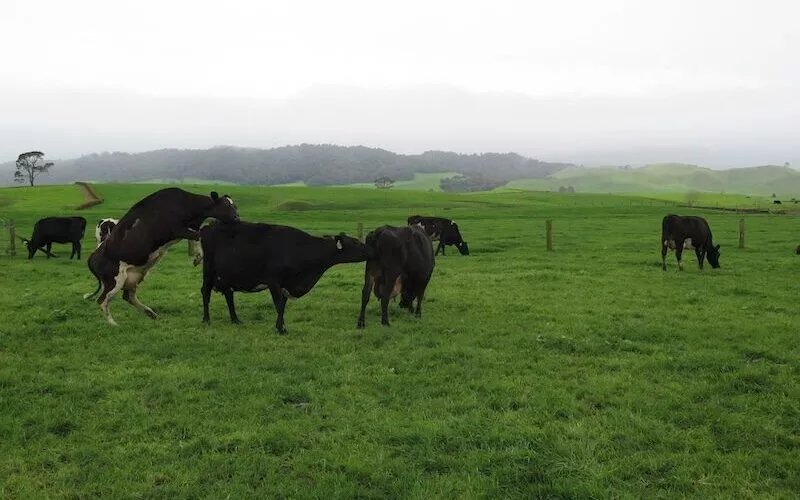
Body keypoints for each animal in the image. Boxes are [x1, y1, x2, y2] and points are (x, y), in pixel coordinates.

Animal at [84, 188, 239, 325]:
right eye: (225, 205)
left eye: (235, 205)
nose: (237, 218)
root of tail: (92, 256)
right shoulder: (178, 229)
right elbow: (198, 235)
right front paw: (198, 255)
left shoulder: (189, 228)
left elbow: (195, 238)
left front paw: (197, 256)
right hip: (115, 280)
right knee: (102, 301)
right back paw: (113, 324)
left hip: (134, 275)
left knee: (128, 296)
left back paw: (150, 313)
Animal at [199, 221, 370, 334]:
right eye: (356, 243)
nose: (369, 249)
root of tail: (209, 226)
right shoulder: (274, 281)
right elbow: (279, 306)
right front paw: (281, 330)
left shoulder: (286, 284)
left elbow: (283, 306)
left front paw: (280, 326)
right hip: (209, 270)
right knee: (205, 292)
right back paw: (206, 320)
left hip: (226, 276)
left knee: (228, 294)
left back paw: (235, 319)